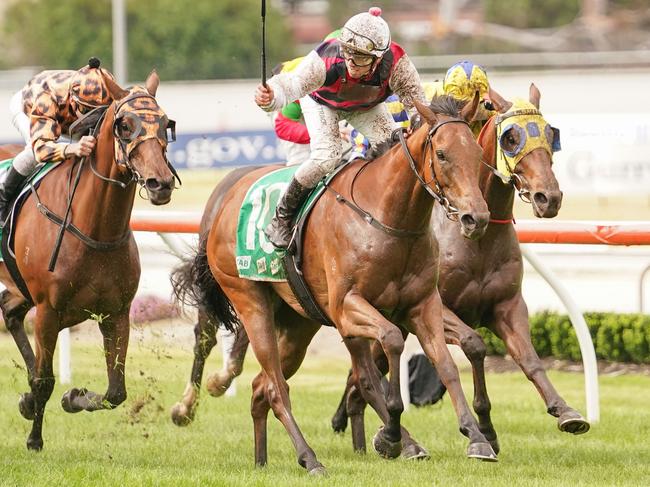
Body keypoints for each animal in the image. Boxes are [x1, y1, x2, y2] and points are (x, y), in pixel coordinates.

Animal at [0, 70, 176, 452]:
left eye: (166, 123)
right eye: (124, 125)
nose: (160, 183)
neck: (96, 229)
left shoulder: (116, 313)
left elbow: (115, 392)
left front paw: (73, 398)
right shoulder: (49, 312)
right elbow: (45, 380)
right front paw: (35, 439)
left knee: (10, 311)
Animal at [170, 93, 494, 474]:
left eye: (476, 152)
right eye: (441, 154)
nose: (477, 218)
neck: (386, 217)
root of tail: (228, 199)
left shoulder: (421, 304)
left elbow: (450, 361)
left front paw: (477, 436)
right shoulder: (347, 307)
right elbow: (390, 343)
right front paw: (391, 436)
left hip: (297, 323)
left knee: (263, 384)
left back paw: (262, 458)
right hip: (249, 300)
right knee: (274, 385)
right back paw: (309, 457)